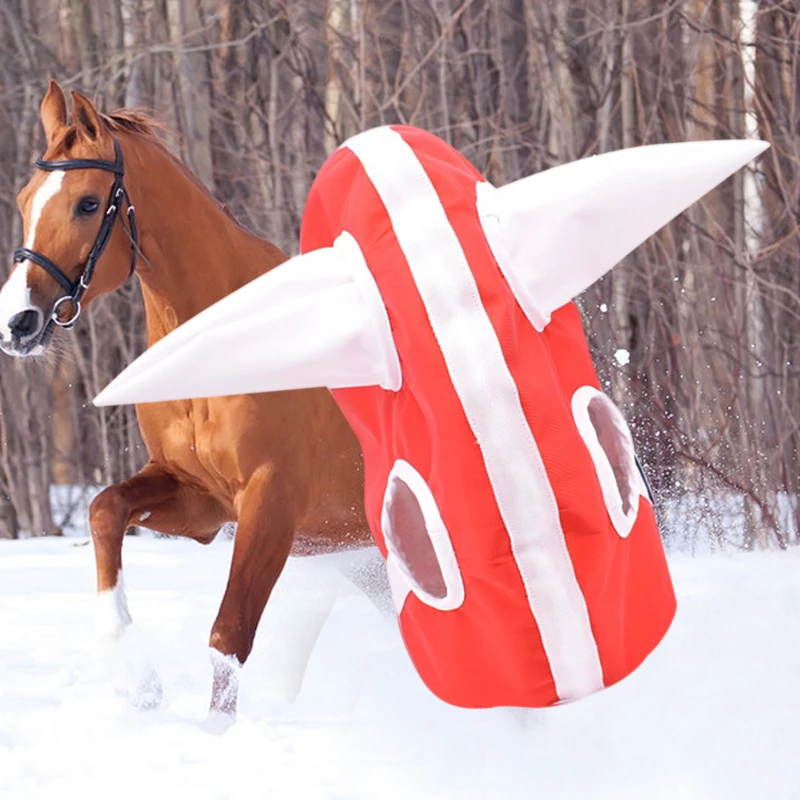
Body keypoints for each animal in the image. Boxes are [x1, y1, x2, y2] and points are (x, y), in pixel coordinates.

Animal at [0, 81, 370, 714]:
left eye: (88, 204)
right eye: (26, 200)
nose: (17, 322)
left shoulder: (269, 504)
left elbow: (228, 638)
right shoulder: (199, 499)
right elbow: (104, 510)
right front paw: (137, 678)